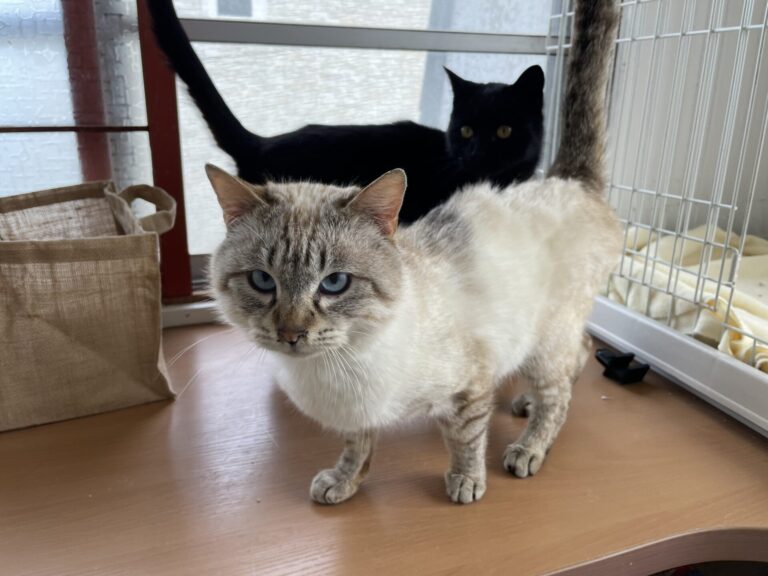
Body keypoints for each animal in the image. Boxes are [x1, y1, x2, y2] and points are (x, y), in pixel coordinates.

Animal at [205, 0, 621, 504]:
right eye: (262, 281)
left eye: (335, 282)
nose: (290, 334)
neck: (337, 367)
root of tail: (567, 179)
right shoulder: (359, 413)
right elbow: (358, 446)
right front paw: (343, 483)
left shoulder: (470, 387)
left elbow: (465, 438)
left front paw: (466, 482)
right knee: (578, 354)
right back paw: (525, 402)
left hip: (544, 337)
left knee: (559, 389)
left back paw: (528, 447)